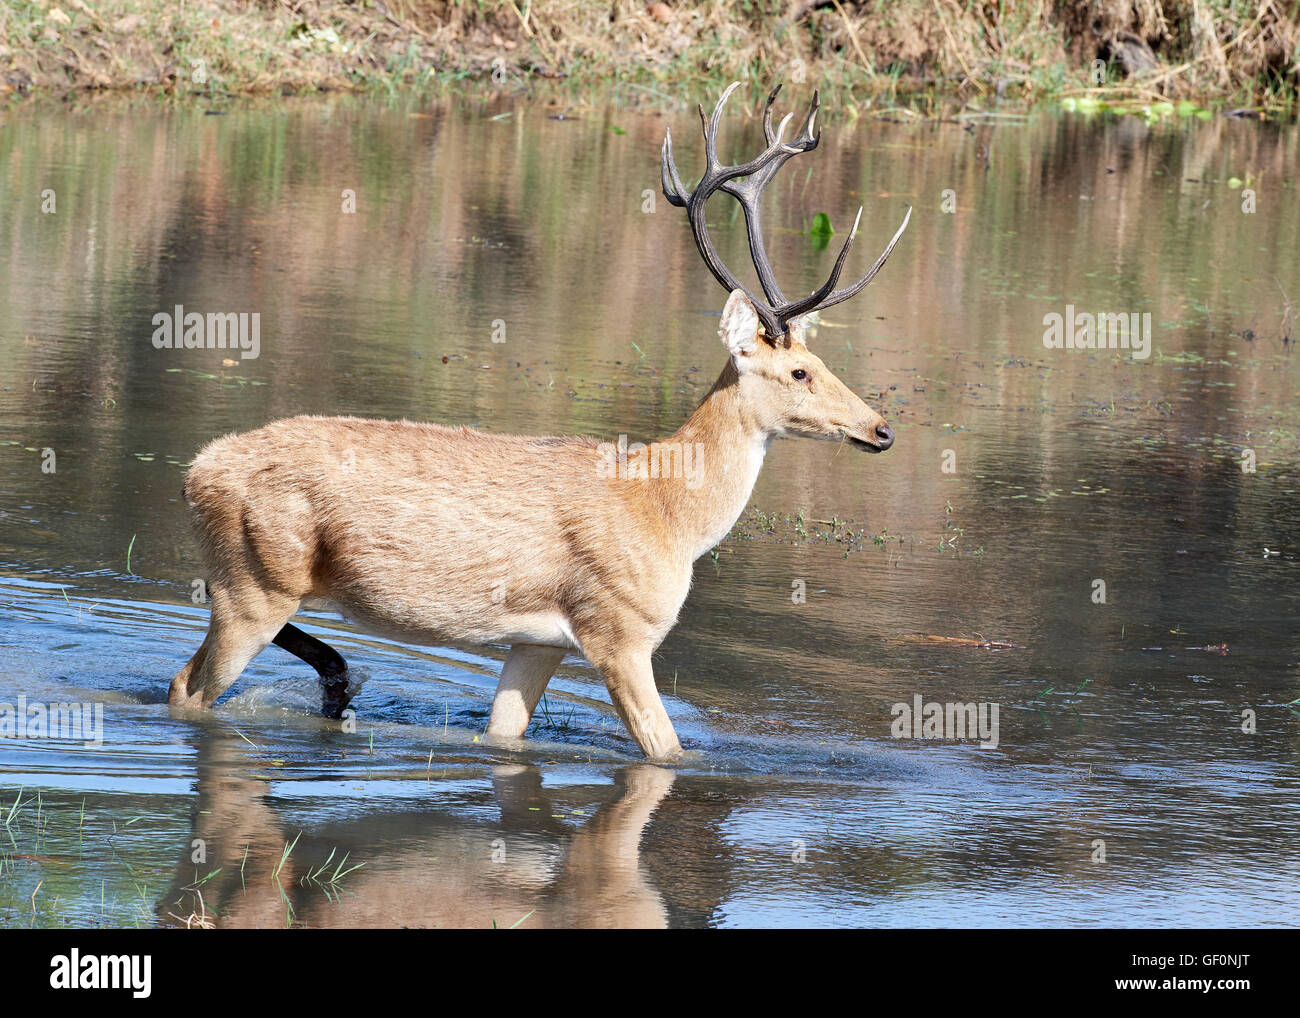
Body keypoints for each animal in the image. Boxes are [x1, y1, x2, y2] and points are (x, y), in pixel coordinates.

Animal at [167, 83, 909, 759]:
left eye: (820, 359)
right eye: (800, 372)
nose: (881, 429)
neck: (666, 510)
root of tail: (196, 470)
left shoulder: (536, 642)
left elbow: (504, 735)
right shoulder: (618, 629)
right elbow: (668, 751)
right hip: (254, 582)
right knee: (186, 688)